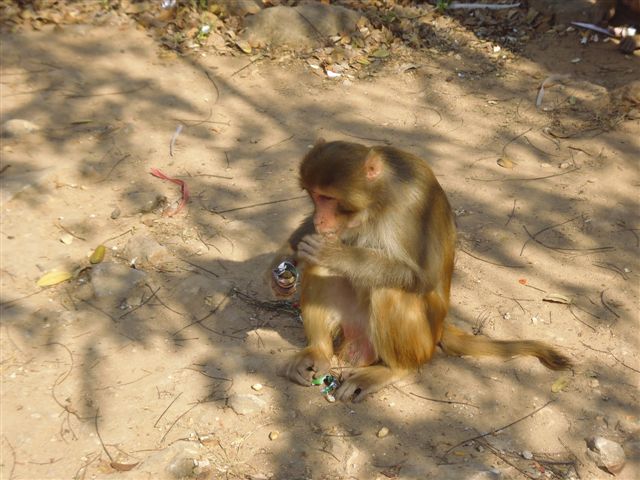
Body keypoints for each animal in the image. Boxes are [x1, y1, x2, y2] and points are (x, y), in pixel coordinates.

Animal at [268, 140, 571, 402]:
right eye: (314, 196)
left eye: (328, 198)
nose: (320, 218)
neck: (378, 199)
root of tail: (440, 328)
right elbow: (309, 242)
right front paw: (281, 264)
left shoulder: (410, 204)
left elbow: (420, 276)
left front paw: (333, 253)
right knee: (319, 270)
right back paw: (318, 352)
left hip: (421, 340)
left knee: (388, 290)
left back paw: (393, 369)